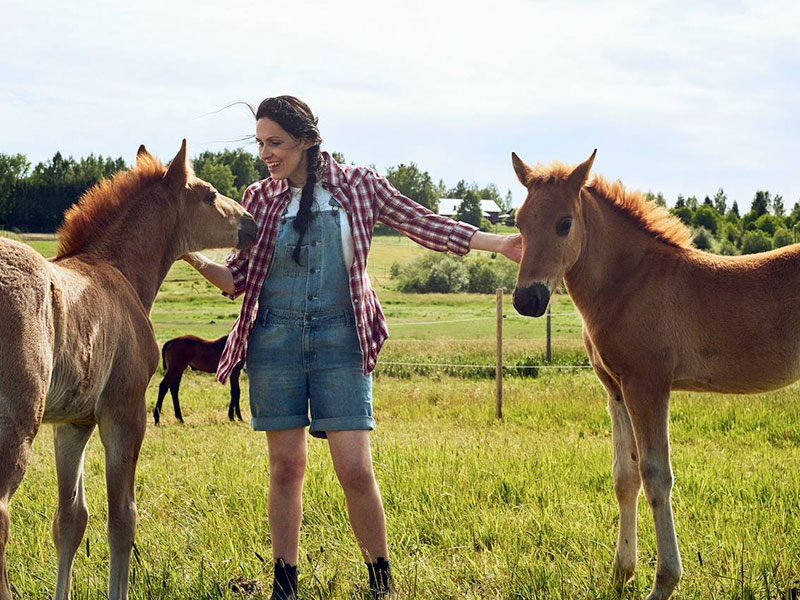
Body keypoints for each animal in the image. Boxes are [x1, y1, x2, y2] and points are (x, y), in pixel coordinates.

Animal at [0, 142, 256, 600]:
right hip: (17, 424)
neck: (116, 269)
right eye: (209, 194)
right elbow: (123, 520)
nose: (253, 223)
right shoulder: (124, 411)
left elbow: (70, 520)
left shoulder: (74, 423)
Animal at [512, 150, 800, 600]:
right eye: (518, 221)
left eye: (564, 222)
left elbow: (655, 476)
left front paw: (664, 581)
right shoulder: (616, 390)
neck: (630, 282)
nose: (527, 299)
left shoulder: (647, 386)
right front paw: (621, 572)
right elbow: (625, 475)